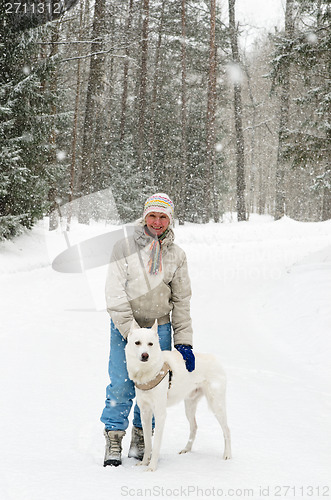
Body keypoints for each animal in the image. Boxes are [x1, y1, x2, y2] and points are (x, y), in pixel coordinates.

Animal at [126, 322, 232, 470]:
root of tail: (215, 359)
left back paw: (227, 455)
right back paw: (186, 449)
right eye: (137, 343)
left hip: (216, 405)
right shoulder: (145, 412)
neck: (146, 373)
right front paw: (144, 462)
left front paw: (152, 467)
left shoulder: (160, 413)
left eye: (150, 344)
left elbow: (156, 444)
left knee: (227, 430)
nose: (145, 355)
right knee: (194, 427)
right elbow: (147, 443)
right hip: (189, 405)